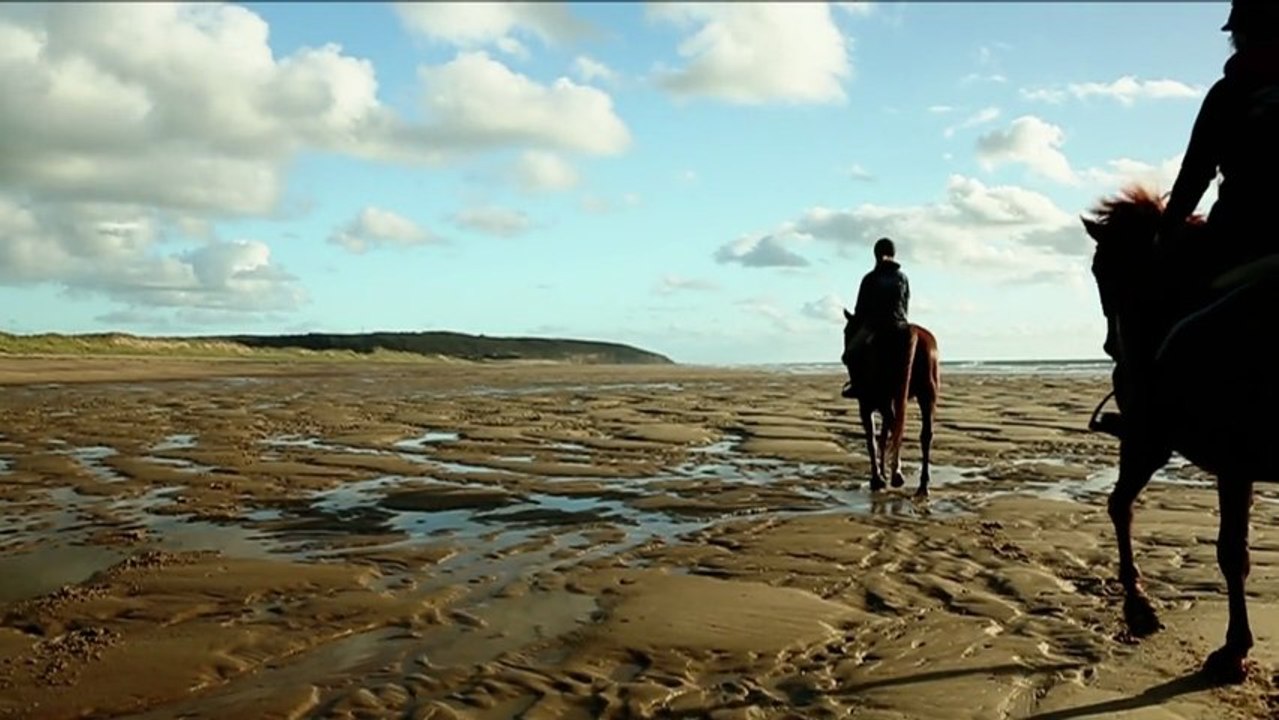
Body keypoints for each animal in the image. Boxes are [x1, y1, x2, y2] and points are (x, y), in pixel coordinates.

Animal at [840, 311, 941, 497]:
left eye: (846, 331)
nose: (844, 356)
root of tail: (912, 332)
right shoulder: (887, 402)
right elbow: (883, 436)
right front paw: (882, 474)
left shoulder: (867, 404)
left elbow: (872, 440)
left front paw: (877, 479)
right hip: (927, 395)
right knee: (924, 435)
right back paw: (922, 485)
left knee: (895, 427)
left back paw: (897, 475)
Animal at [1083, 184, 1279, 683]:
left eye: (1099, 269)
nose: (1112, 348)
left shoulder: (1221, 459)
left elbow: (1231, 553)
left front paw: (1232, 650)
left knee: (1120, 506)